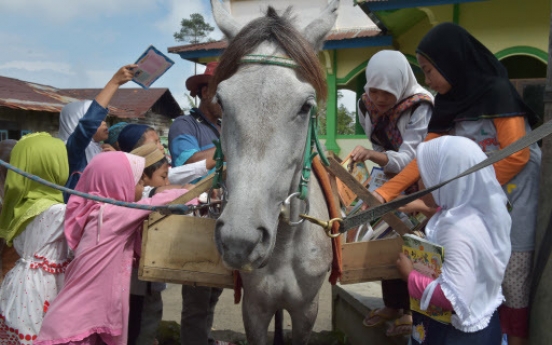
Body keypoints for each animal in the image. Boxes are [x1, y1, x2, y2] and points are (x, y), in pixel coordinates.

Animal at [210, 1, 338, 342]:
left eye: (306, 106)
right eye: (221, 101)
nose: (239, 240)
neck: (283, 250)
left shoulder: (307, 311)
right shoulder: (255, 309)